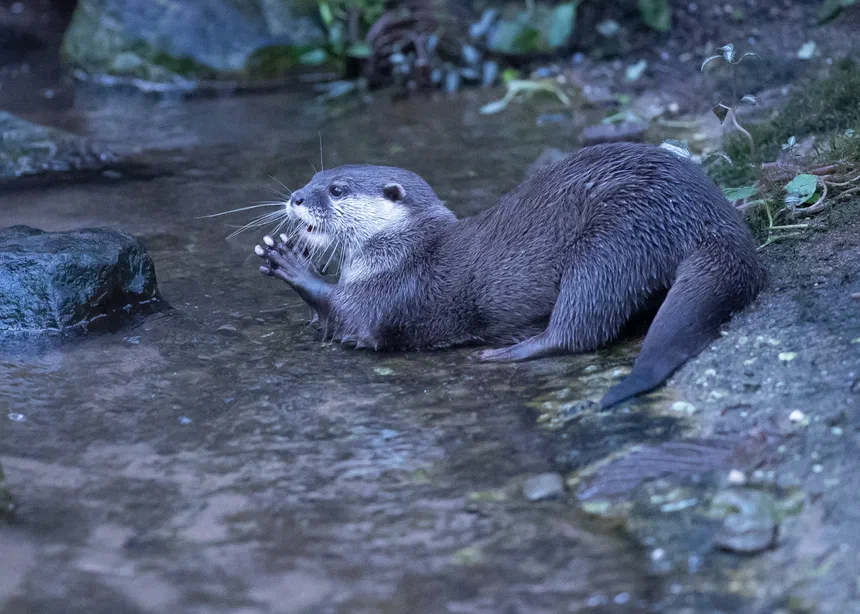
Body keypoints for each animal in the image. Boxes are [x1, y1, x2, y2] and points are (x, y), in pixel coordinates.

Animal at [254, 142, 764, 408]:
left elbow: (350, 318)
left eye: (336, 190)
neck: (403, 251)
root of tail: (708, 213)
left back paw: (509, 352)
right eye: (313, 178)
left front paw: (292, 263)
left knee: (581, 327)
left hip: (614, 241)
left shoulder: (396, 291)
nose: (297, 197)